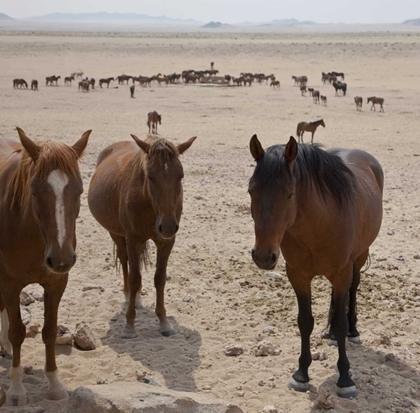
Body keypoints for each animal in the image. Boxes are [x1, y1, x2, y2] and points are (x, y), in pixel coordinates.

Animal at [0, 127, 91, 404]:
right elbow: (18, 331)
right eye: (35, 191)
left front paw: (54, 384)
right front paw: (16, 389)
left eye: (79, 191)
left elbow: (50, 332)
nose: (61, 259)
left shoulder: (56, 283)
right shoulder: (9, 284)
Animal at [88, 135, 197, 338]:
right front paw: (129, 325)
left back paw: (137, 297)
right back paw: (128, 296)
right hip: (116, 234)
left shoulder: (166, 242)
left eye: (181, 175)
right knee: (124, 261)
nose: (168, 226)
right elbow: (134, 277)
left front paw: (164, 322)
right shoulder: (133, 239)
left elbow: (160, 278)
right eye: (150, 176)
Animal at [249, 135, 384, 400]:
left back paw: (353, 331)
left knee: (353, 288)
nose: (263, 256)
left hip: (359, 257)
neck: (318, 224)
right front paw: (301, 373)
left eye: (290, 195)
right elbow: (305, 321)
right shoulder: (298, 275)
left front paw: (345, 379)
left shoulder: (341, 273)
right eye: (251, 191)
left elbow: (341, 322)